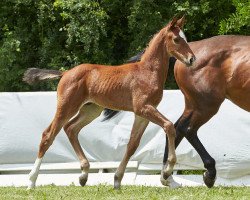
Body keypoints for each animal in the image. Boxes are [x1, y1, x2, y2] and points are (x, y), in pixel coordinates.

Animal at [23, 16, 195, 189]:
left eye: (186, 39)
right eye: (176, 39)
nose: (192, 59)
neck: (148, 71)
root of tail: (65, 73)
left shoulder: (142, 114)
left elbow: (133, 144)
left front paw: (117, 179)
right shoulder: (143, 108)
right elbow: (169, 126)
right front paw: (167, 172)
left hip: (91, 110)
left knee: (71, 128)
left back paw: (83, 175)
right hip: (67, 107)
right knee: (48, 135)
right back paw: (31, 181)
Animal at [104, 34, 250, 188]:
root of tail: (190, 51)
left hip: (195, 104)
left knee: (177, 127)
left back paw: (167, 175)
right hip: (206, 105)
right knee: (187, 128)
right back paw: (208, 173)